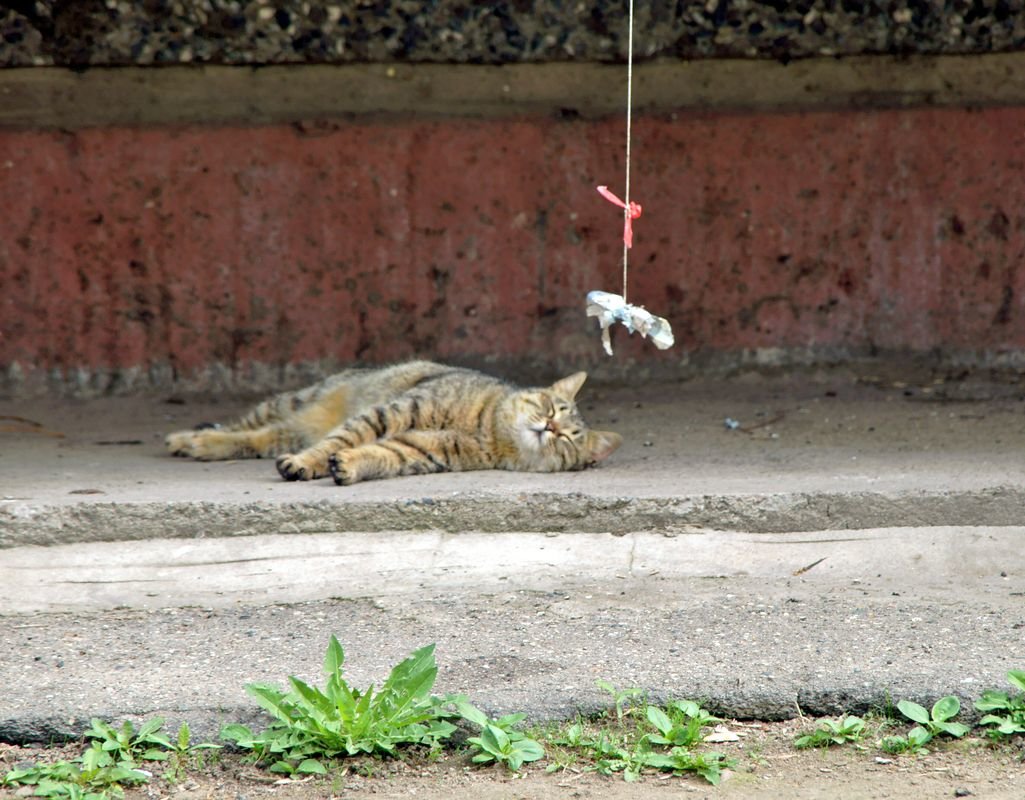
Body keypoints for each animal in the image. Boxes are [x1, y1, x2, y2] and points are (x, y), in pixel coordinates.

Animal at [164, 361, 619, 484]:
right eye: (550, 408)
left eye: (568, 440)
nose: (550, 428)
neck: (487, 427)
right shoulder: (394, 412)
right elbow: (341, 439)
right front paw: (310, 462)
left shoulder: (423, 448)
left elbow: (379, 453)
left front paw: (348, 466)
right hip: (296, 401)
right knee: (243, 425)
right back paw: (189, 438)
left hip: (287, 428)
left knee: (257, 438)